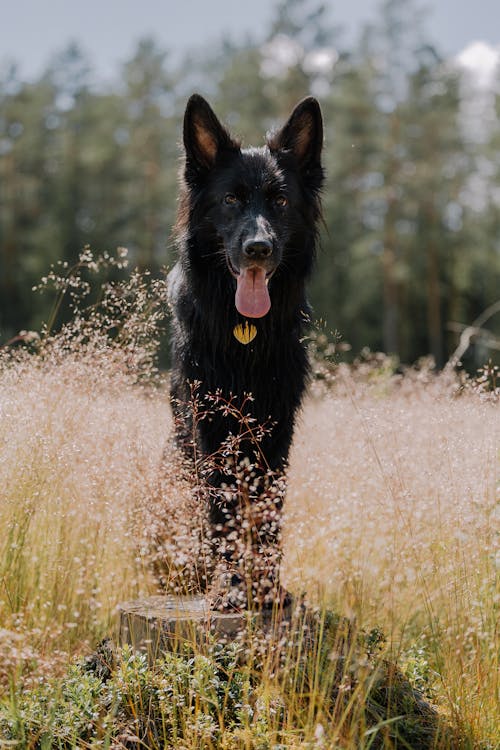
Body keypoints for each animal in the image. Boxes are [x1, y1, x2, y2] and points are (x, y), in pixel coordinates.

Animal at [168, 94, 324, 612]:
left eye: (280, 202)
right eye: (231, 200)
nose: (258, 248)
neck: (246, 332)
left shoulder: (277, 425)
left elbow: (267, 508)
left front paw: (267, 586)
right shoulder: (211, 426)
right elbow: (223, 510)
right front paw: (231, 587)